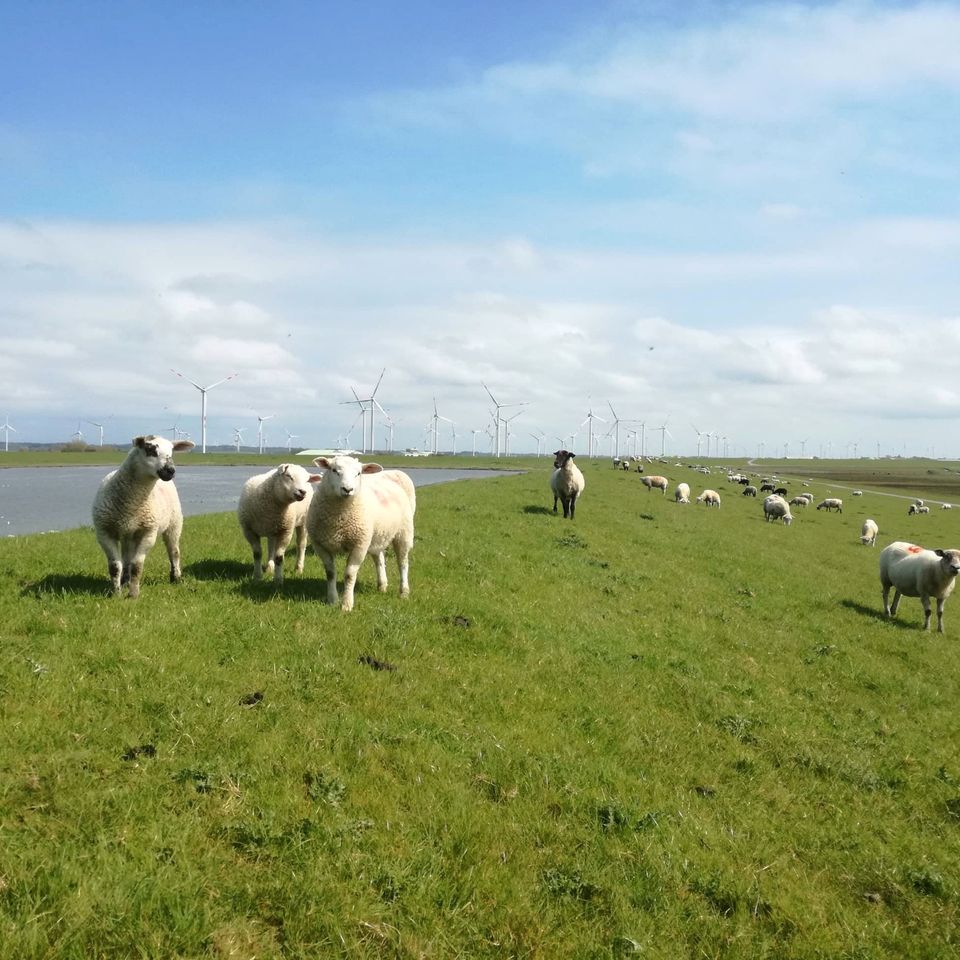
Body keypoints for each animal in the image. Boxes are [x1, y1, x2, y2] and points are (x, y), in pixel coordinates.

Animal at [91, 436, 195, 600]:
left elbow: (137, 566)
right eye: (150, 449)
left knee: (174, 551)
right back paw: (125, 581)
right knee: (126, 559)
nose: (170, 470)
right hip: (129, 535)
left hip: (174, 524)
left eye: (172, 452)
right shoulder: (104, 532)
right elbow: (115, 566)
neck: (131, 504)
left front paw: (133, 595)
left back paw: (176, 577)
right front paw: (116, 593)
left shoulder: (148, 533)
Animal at [306, 454, 414, 612]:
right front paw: (332, 600)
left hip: (403, 533)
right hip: (376, 536)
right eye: (334, 470)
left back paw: (404, 592)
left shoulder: (359, 545)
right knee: (379, 559)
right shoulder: (320, 544)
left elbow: (350, 575)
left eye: (358, 473)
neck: (338, 521)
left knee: (403, 563)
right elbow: (330, 573)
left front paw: (346, 604)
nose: (347, 489)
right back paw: (382, 585)